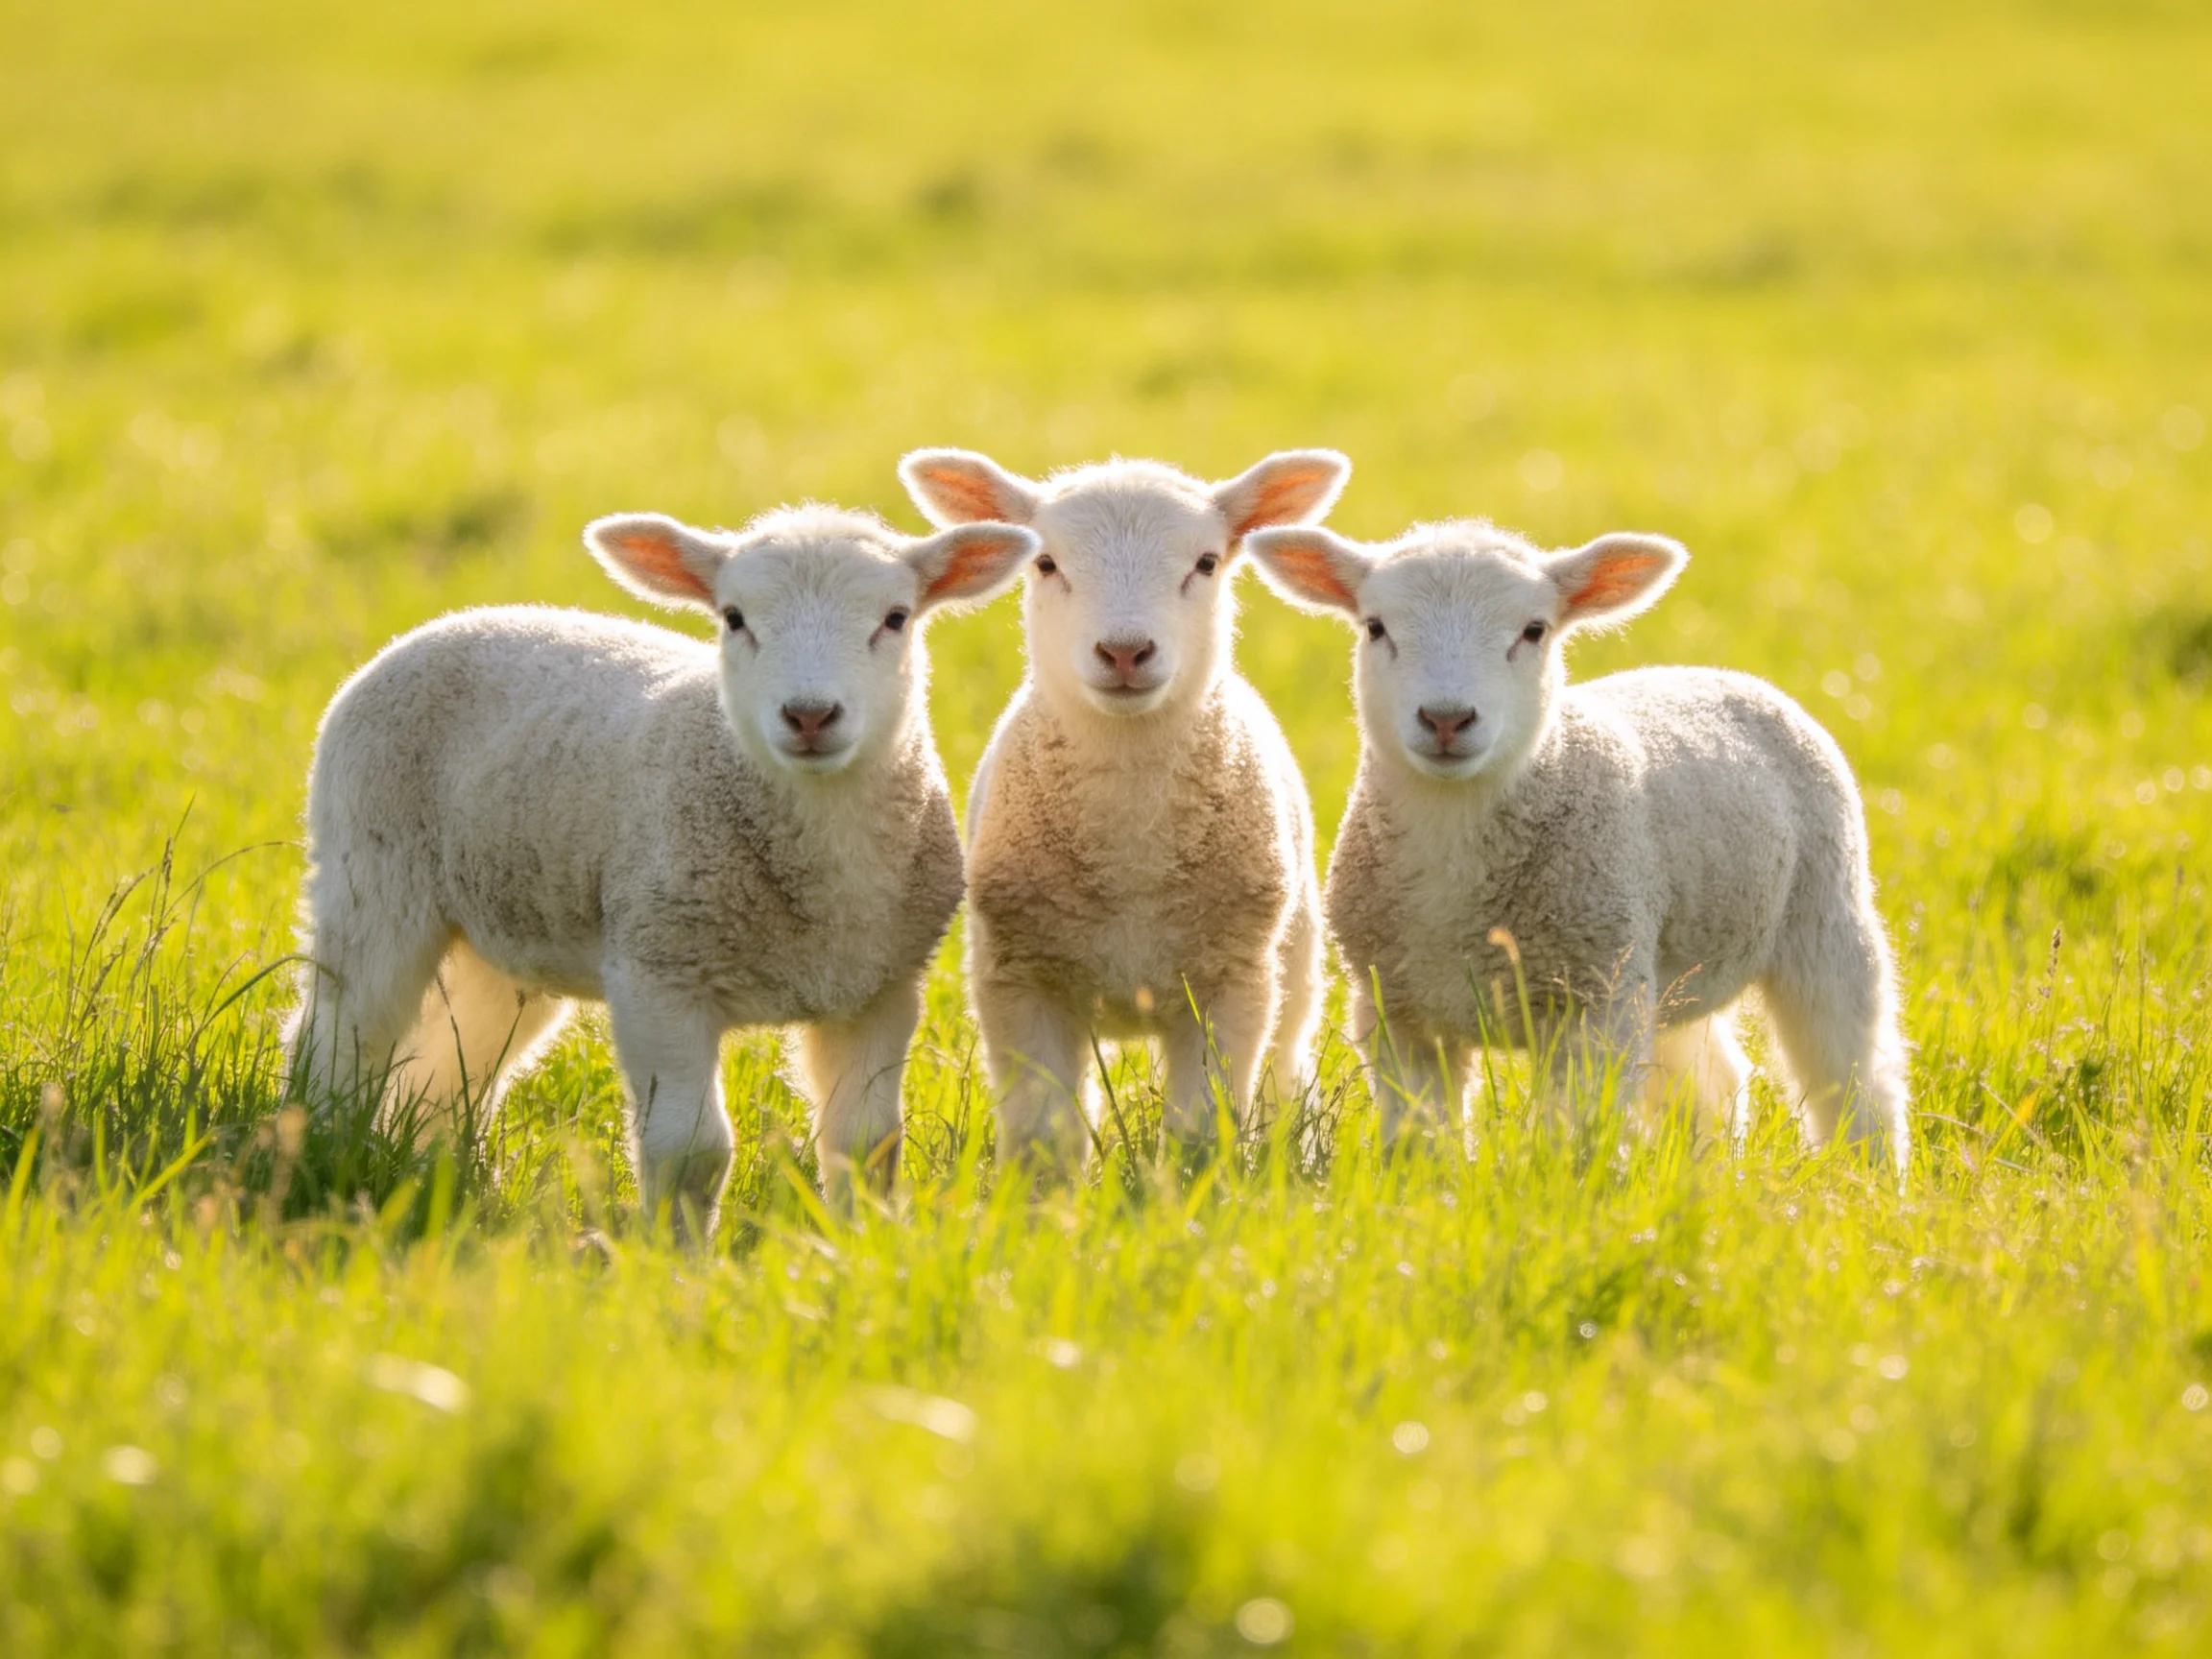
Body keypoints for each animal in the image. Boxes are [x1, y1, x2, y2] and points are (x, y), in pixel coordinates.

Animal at [284, 503, 1040, 1233]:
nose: (809, 715)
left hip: (502, 936)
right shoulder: (659, 975)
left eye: (895, 618)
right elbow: (691, 1151)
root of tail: (452, 621)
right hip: (371, 875)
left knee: (447, 1066)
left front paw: (864, 1246)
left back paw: (434, 1175)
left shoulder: (879, 988)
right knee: (342, 1035)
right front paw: (676, 1257)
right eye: (734, 618)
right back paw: (324, 1153)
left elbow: (866, 1143)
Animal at [897, 447, 1350, 1165]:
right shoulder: (1019, 980)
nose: (1125, 651)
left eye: (1207, 562)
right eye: (1045, 563)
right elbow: (1044, 1133)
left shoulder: (1231, 983)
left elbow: (1202, 1127)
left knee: (1288, 1072)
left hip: (1296, 958)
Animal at [1245, 516, 1911, 1176]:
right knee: (1716, 1079)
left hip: (1823, 912)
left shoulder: (1596, 1002)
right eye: (1375, 627)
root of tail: (1716, 674)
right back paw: (1709, 1169)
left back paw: (1868, 1173)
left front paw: (1567, 1186)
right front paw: (1425, 1188)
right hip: (1666, 968)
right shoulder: (1398, 1010)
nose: (1446, 720)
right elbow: (1422, 1133)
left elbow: (1576, 1132)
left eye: (1533, 630)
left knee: (1854, 1069)